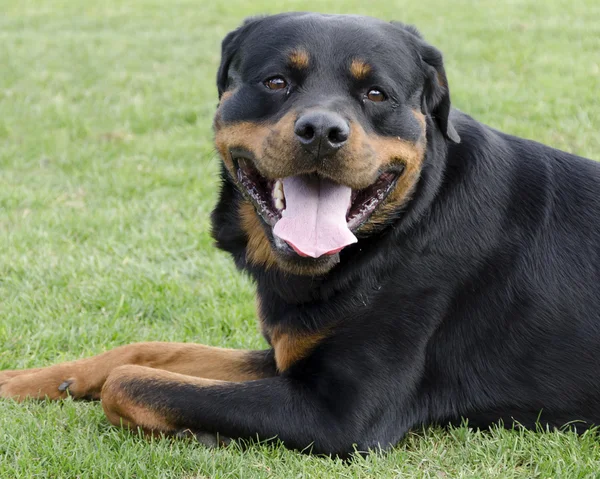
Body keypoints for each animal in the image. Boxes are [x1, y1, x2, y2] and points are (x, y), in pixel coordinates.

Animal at [1, 12, 600, 458]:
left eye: (376, 94)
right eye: (276, 82)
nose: (321, 131)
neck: (403, 228)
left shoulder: (342, 415)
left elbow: (132, 380)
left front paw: (196, 429)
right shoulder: (290, 353)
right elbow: (149, 350)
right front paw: (28, 380)